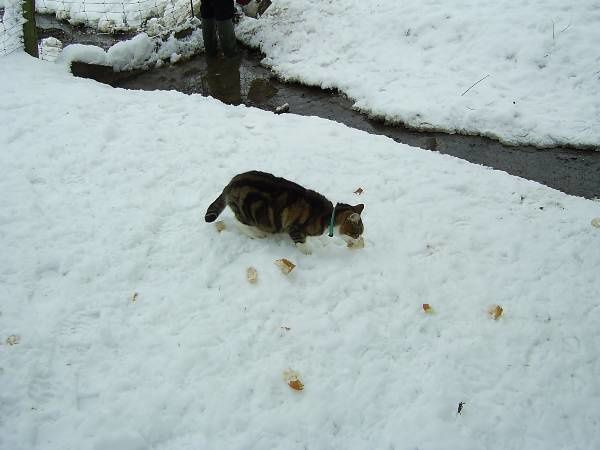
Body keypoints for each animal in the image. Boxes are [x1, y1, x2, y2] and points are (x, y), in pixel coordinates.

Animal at [205, 171, 366, 253]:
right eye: (356, 234)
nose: (358, 240)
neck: (328, 217)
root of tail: (231, 183)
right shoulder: (294, 227)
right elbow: (302, 243)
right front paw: (309, 251)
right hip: (246, 211)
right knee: (240, 223)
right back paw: (256, 233)